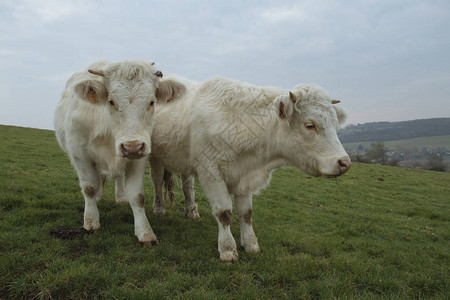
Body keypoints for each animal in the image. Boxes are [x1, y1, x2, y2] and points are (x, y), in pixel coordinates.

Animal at [54, 59, 186, 245]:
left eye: (152, 102)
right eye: (111, 101)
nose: (132, 146)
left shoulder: (139, 158)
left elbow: (138, 196)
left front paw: (145, 233)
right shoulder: (80, 154)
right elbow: (89, 188)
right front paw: (91, 222)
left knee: (118, 178)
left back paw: (121, 197)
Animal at [149, 77, 350, 260]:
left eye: (335, 124)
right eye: (310, 125)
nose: (344, 162)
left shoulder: (244, 176)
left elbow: (246, 214)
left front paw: (251, 244)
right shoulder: (211, 172)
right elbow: (224, 212)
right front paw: (228, 249)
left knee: (187, 186)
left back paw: (191, 212)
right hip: (155, 158)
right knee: (157, 181)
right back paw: (159, 208)